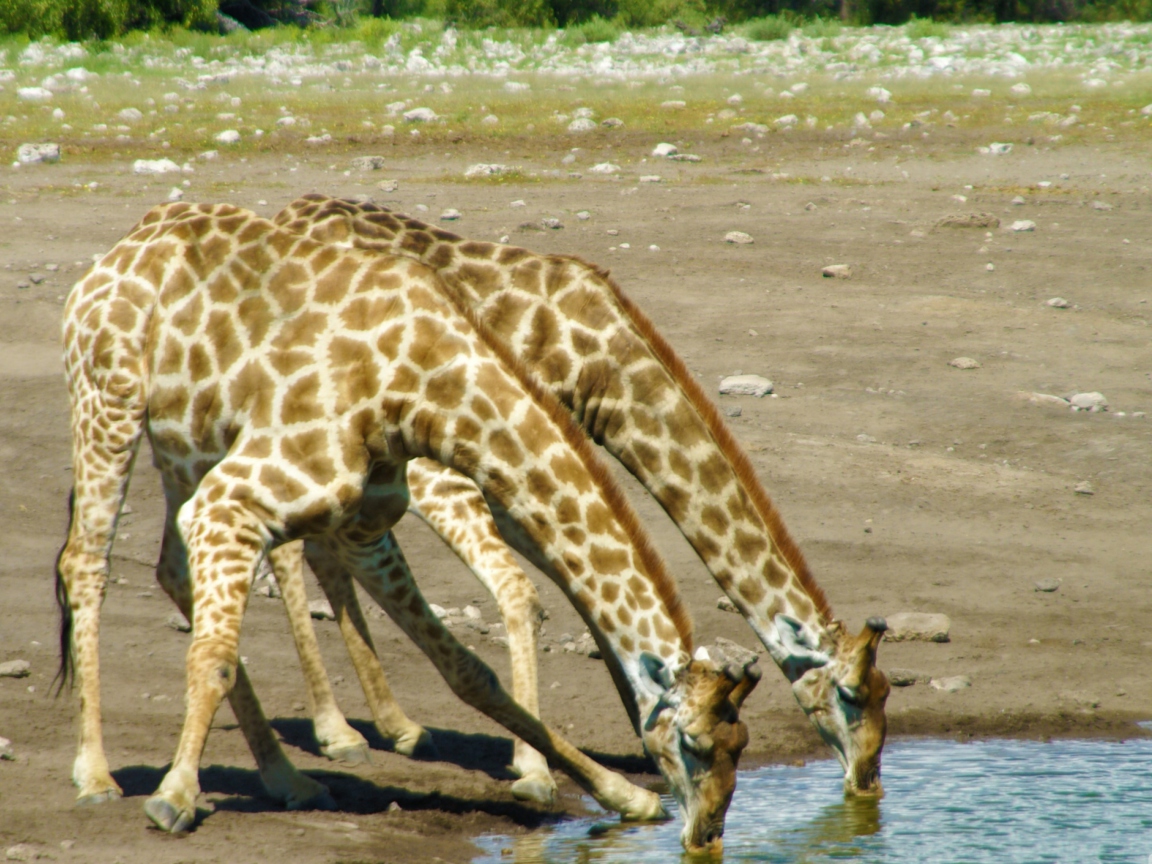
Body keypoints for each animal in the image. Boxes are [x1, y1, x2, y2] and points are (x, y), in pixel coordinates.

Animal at [58, 201, 755, 852]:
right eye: (694, 743)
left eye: (741, 745)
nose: (708, 834)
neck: (424, 386)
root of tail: (117, 251)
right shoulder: (234, 500)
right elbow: (216, 656)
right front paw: (175, 795)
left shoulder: (361, 523)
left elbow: (470, 672)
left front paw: (621, 795)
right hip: (109, 405)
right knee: (85, 562)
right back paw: (96, 775)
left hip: (184, 443)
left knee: (171, 570)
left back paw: (289, 779)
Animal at [267, 195, 889, 797]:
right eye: (852, 695)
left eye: (886, 693)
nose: (867, 781)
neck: (602, 369)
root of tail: (287, 213)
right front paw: (536, 766)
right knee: (292, 545)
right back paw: (337, 732)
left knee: (319, 546)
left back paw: (394, 726)